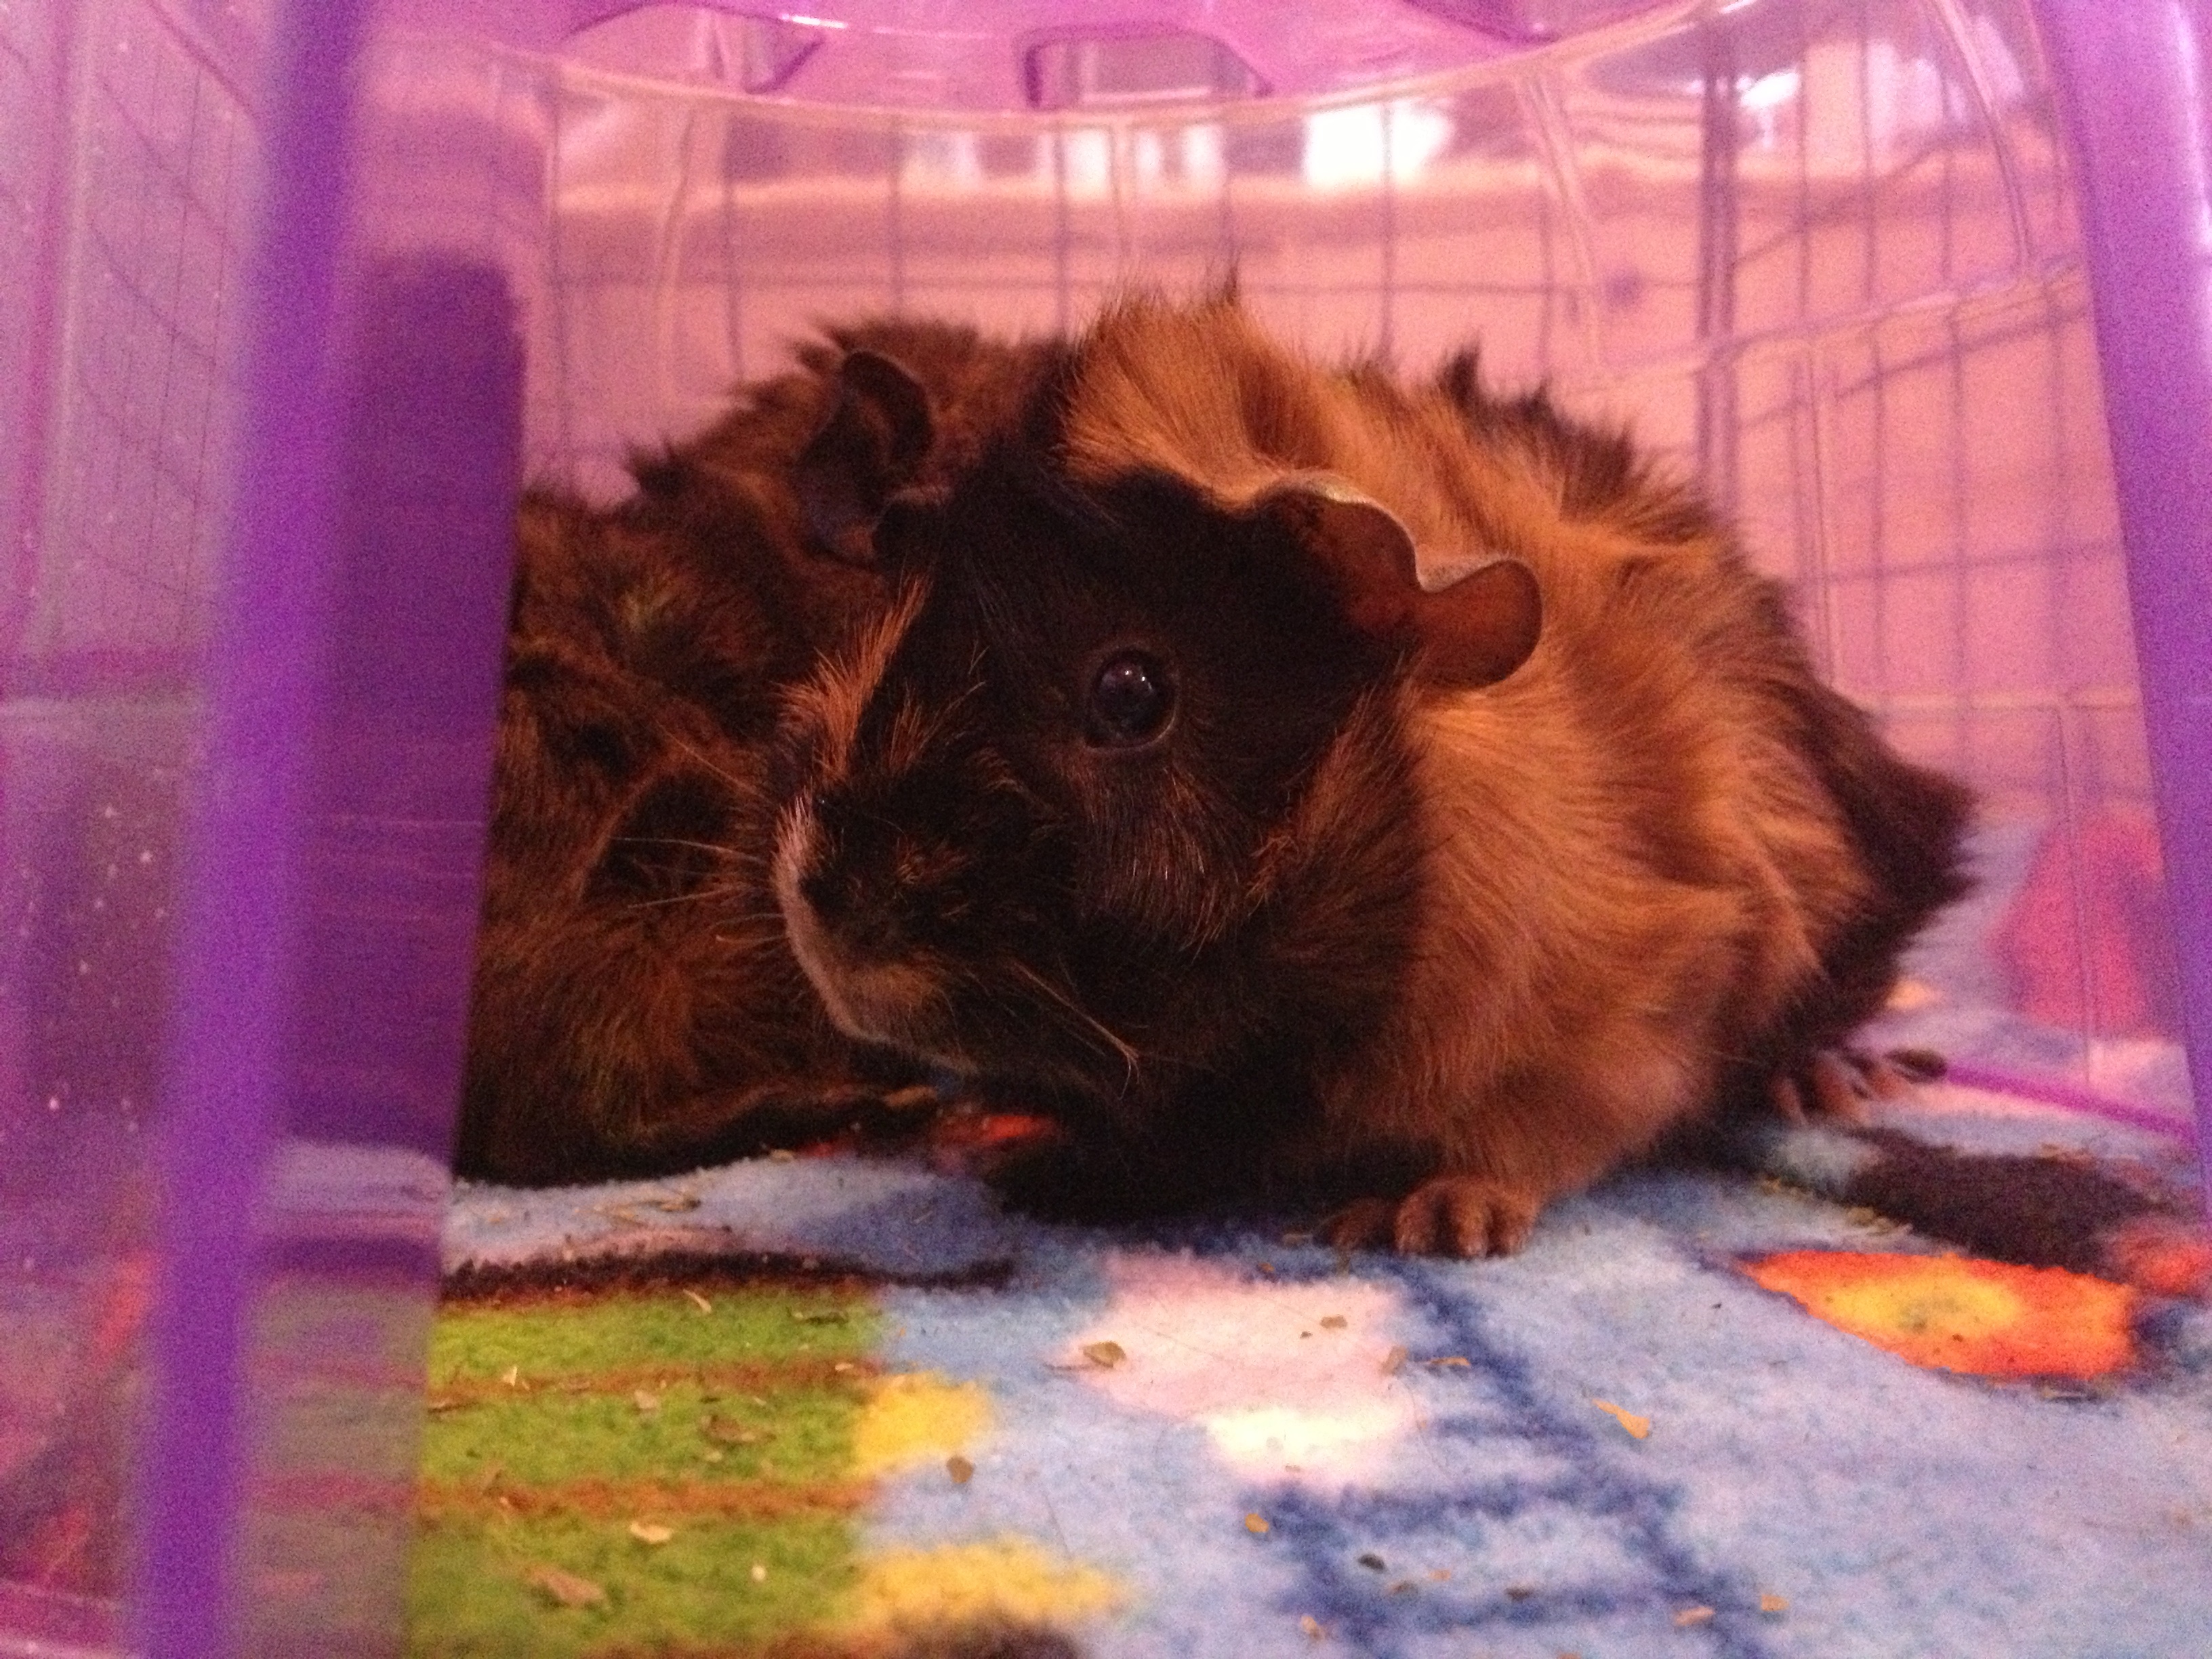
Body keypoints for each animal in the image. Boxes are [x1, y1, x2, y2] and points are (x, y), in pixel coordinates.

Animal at [767, 291, 1973, 1255]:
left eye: (1131, 691)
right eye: (882, 634)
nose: (826, 914)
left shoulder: (1629, 1011)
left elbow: (1538, 1136)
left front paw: (1430, 1222)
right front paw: (1022, 1160)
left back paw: (1833, 1089)